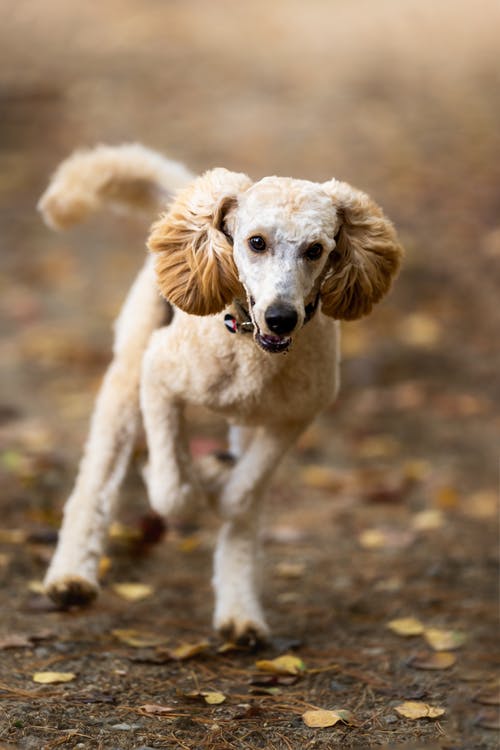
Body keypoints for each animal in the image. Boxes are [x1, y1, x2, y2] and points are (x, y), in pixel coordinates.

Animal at [39, 144, 402, 644]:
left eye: (316, 249)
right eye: (256, 242)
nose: (281, 318)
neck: (248, 345)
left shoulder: (293, 417)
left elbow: (243, 496)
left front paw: (220, 482)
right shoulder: (159, 380)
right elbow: (173, 489)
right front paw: (192, 478)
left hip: (248, 422)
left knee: (244, 514)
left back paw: (240, 612)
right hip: (127, 381)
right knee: (97, 481)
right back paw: (72, 576)